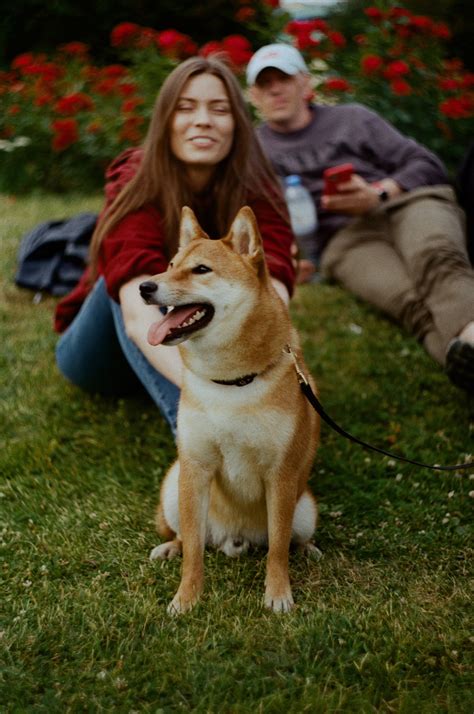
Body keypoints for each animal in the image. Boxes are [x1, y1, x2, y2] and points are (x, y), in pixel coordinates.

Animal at [140, 206, 318, 612]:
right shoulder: (196, 467)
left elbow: (278, 549)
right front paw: (186, 599)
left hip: (305, 509)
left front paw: (278, 594)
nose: (145, 287)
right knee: (189, 537)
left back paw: (308, 549)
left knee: (291, 539)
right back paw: (170, 547)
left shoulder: (280, 476)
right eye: (170, 265)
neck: (231, 383)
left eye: (201, 269)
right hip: (174, 486)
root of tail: (234, 538)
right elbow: (193, 552)